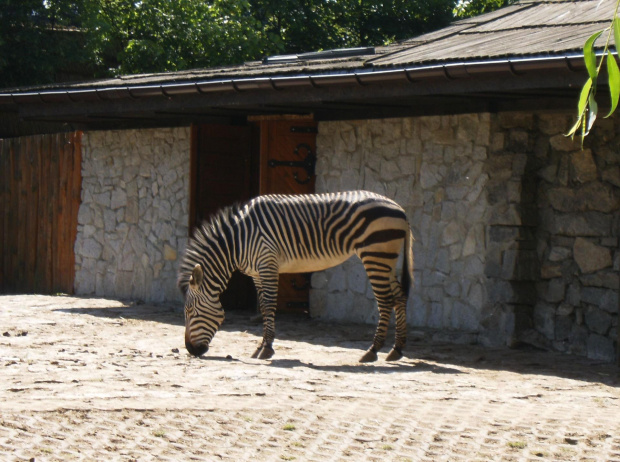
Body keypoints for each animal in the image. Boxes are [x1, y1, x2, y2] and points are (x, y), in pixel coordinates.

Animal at [177, 189, 414, 362]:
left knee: (386, 301)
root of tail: (400, 209)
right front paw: (260, 346)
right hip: (386, 259)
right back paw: (397, 349)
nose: (191, 350)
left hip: (375, 255)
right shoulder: (257, 273)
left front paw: (267, 348)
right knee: (399, 296)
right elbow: (262, 306)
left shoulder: (267, 264)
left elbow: (269, 305)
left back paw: (372, 350)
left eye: (190, 311)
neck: (238, 241)